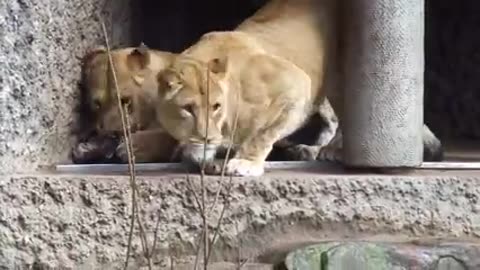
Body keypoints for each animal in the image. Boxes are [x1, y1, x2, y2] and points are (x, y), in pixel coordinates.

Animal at [153, 0, 442, 176]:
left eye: (216, 106)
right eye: (188, 109)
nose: (207, 138)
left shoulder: (296, 83)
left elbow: (263, 133)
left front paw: (245, 163)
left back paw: (332, 150)